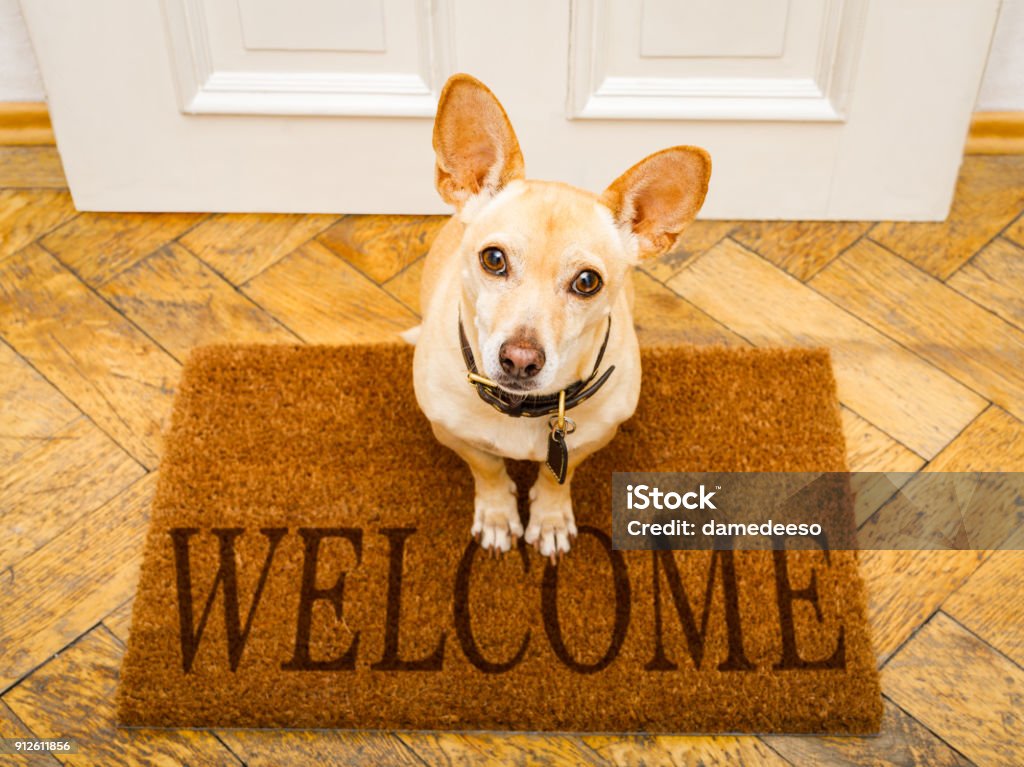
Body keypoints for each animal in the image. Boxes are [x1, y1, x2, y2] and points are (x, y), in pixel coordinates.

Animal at [403, 74, 708, 561]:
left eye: (587, 282)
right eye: (493, 259)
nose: (520, 360)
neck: (522, 410)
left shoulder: (589, 441)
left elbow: (555, 475)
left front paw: (548, 518)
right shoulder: (453, 434)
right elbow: (487, 467)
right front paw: (497, 514)